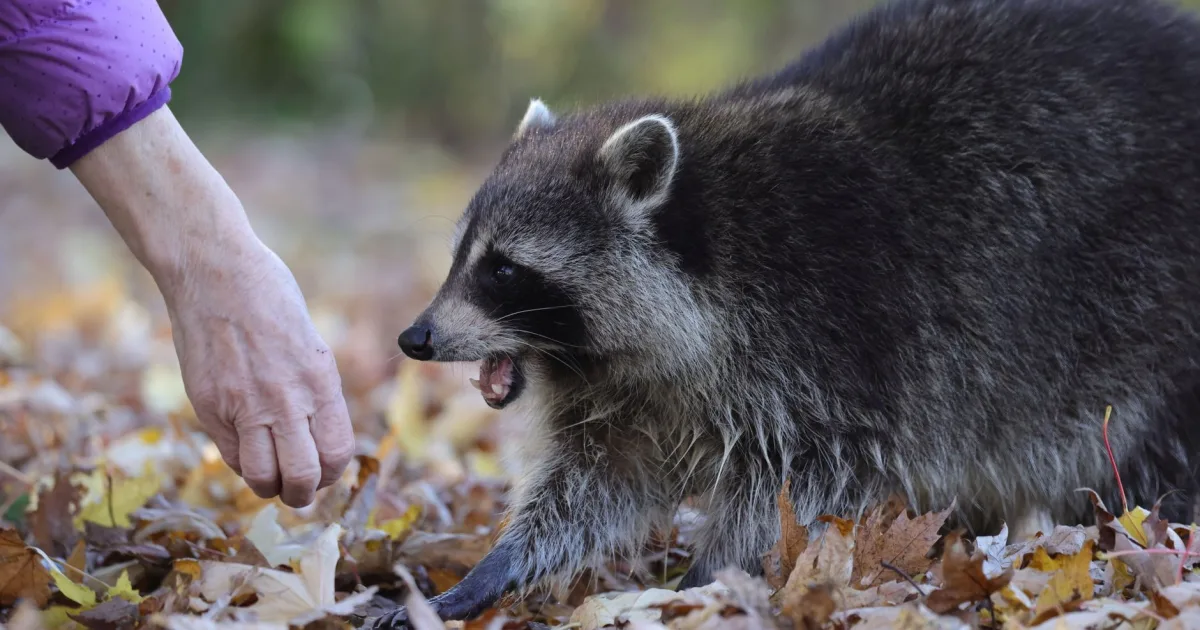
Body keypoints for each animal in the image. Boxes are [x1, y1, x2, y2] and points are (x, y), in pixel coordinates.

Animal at [379, 0, 1200, 623]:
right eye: (461, 257)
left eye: (503, 269)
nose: (415, 338)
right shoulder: (628, 396)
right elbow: (597, 481)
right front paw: (499, 565)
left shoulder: (833, 347)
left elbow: (798, 486)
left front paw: (704, 578)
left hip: (1152, 317)